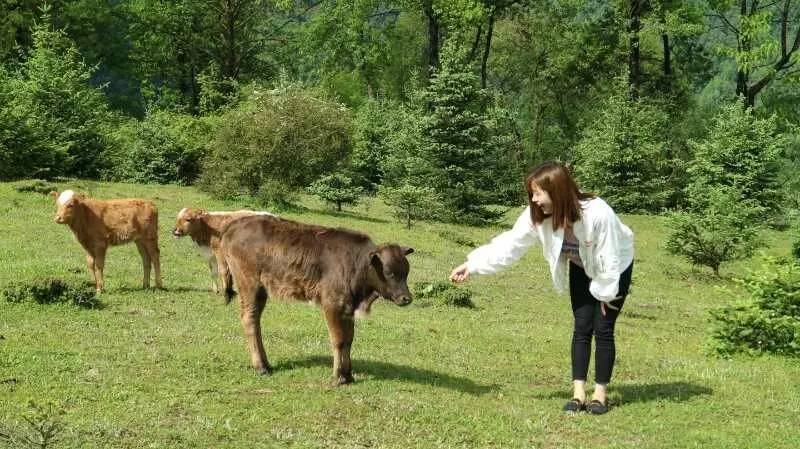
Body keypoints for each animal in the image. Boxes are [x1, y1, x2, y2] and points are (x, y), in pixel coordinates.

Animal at [222, 215, 416, 384]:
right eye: (389, 272)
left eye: (406, 272)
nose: (406, 298)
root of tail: (234, 226)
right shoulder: (332, 304)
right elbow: (338, 340)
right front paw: (338, 377)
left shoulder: (347, 308)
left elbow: (348, 340)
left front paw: (348, 375)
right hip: (249, 283)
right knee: (249, 318)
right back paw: (261, 366)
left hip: (261, 289)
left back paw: (266, 364)